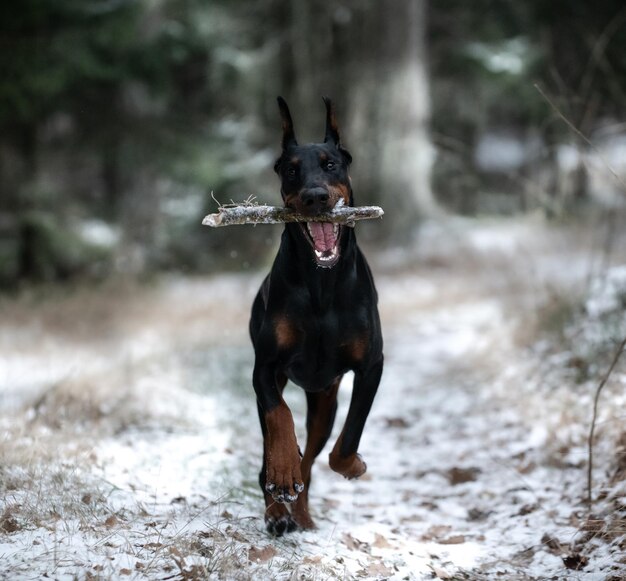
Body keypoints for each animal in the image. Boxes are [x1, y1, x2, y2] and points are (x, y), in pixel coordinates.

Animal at [247, 96, 382, 536]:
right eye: (291, 170)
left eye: (330, 164)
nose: (315, 197)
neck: (322, 283)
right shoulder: (265, 367)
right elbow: (280, 416)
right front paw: (282, 472)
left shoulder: (370, 365)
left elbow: (348, 439)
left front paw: (353, 466)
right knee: (273, 442)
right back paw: (278, 506)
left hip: (324, 399)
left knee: (313, 452)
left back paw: (300, 513)